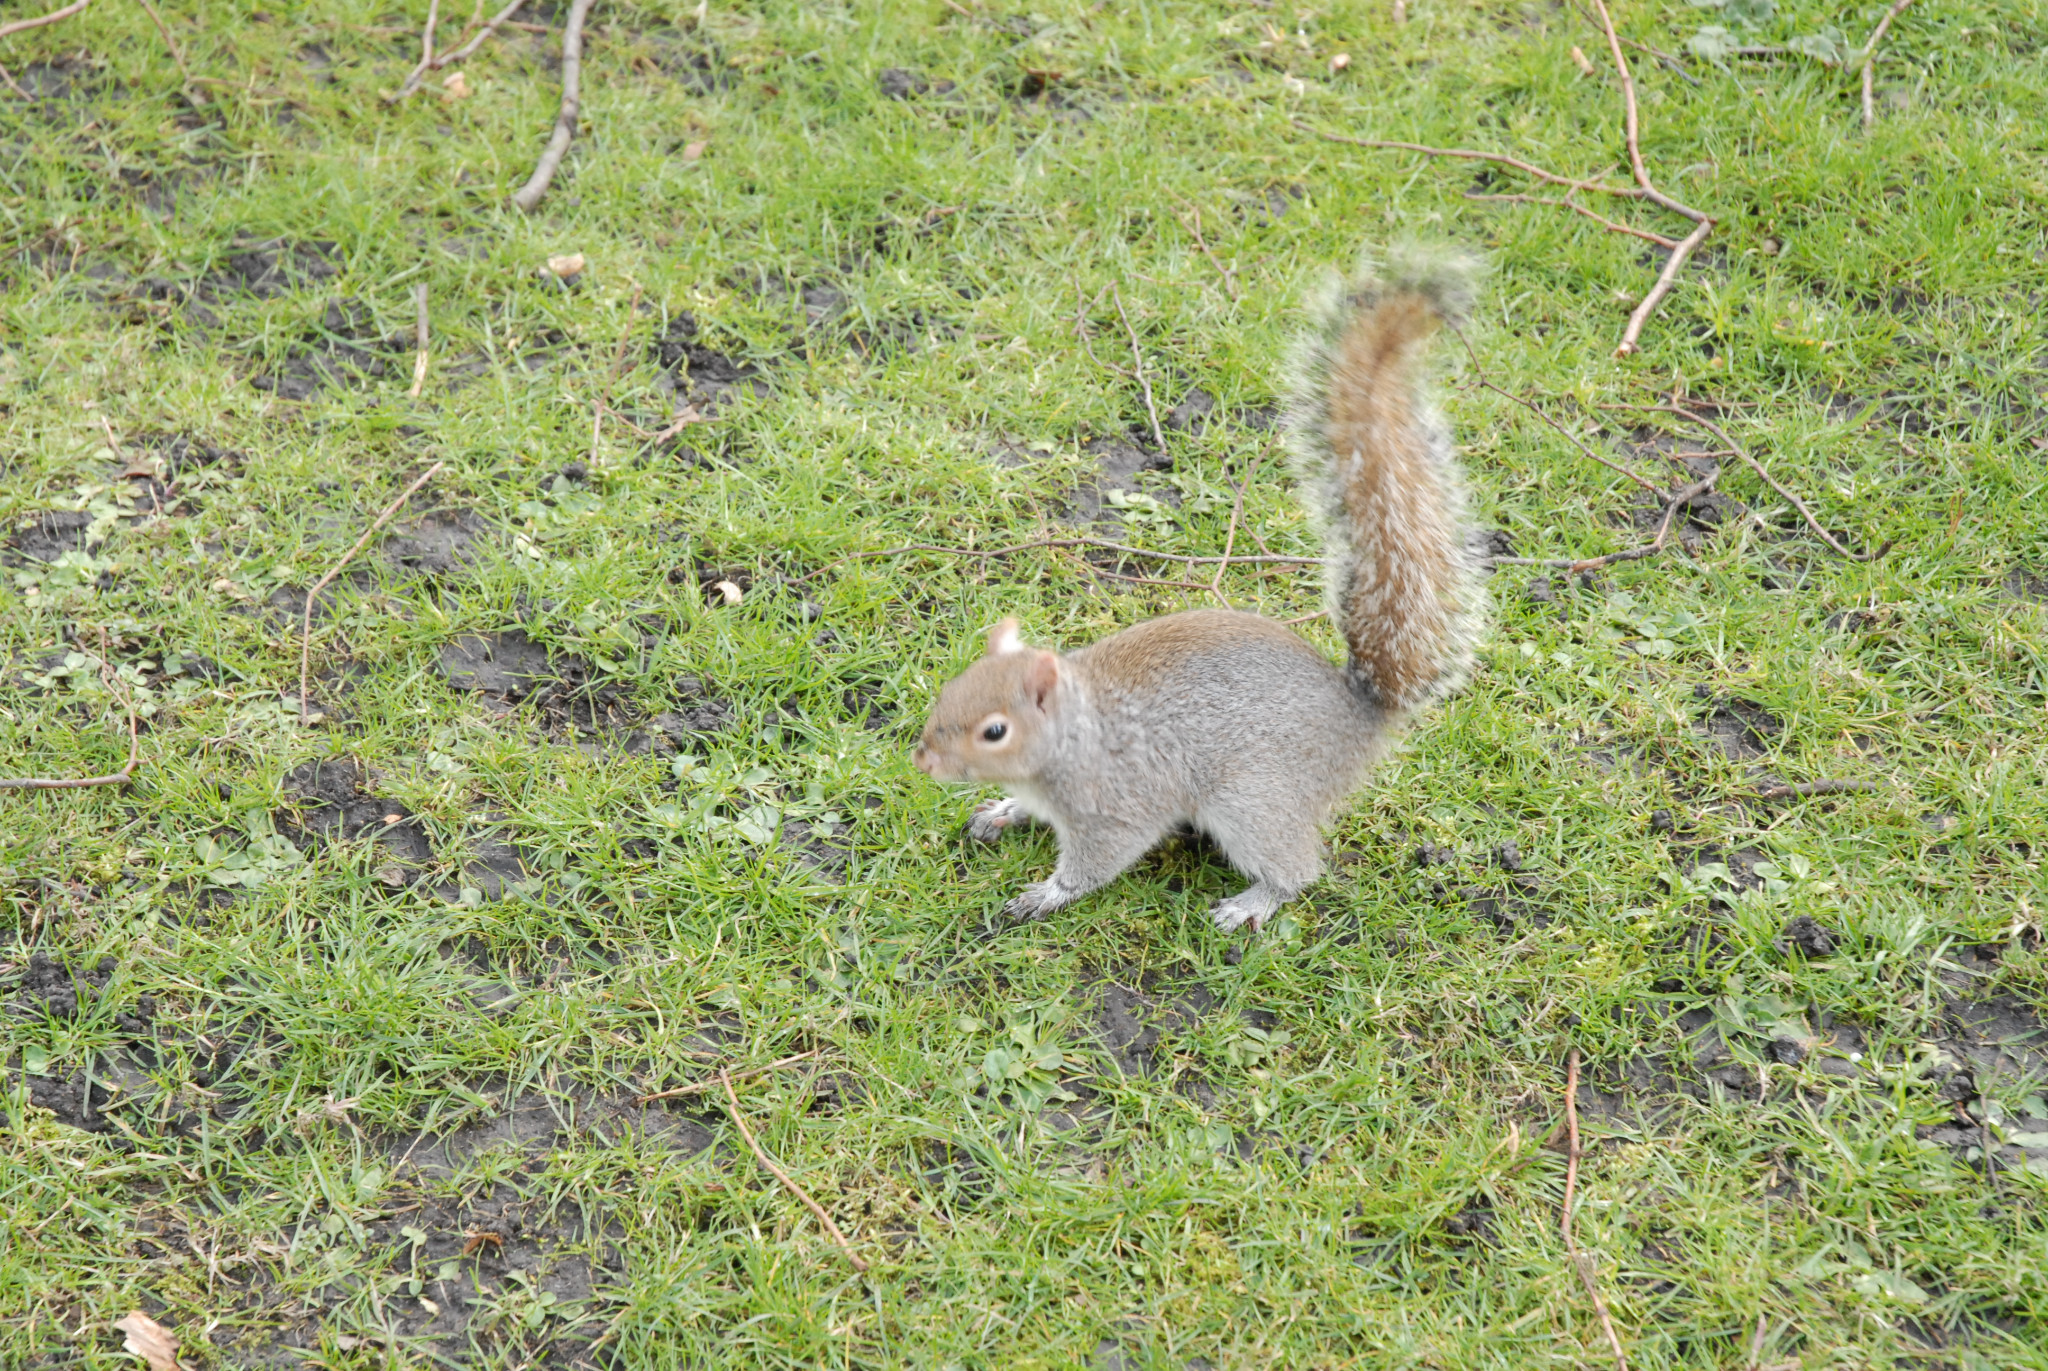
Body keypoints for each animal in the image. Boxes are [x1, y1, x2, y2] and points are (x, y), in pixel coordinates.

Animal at [917, 248, 1490, 930]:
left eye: (994, 732)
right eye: (952, 687)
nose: (923, 760)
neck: (1076, 736)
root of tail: (1359, 717)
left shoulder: (1118, 803)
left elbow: (1097, 864)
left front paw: (1044, 895)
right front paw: (1003, 812)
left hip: (1253, 801)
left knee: (1298, 869)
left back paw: (1251, 905)